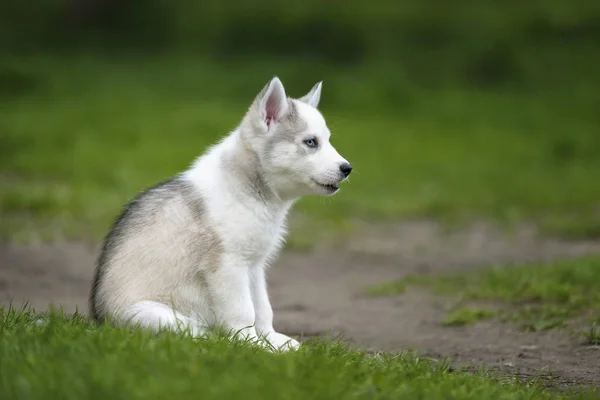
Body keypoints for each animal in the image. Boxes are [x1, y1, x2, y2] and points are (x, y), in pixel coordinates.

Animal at [89, 76, 352, 352]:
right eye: (311, 142)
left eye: (327, 140)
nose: (348, 168)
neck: (251, 191)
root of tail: (100, 323)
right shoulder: (228, 265)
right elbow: (244, 311)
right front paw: (252, 344)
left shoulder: (255, 266)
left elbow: (262, 308)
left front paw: (273, 341)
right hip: (153, 315)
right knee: (194, 334)